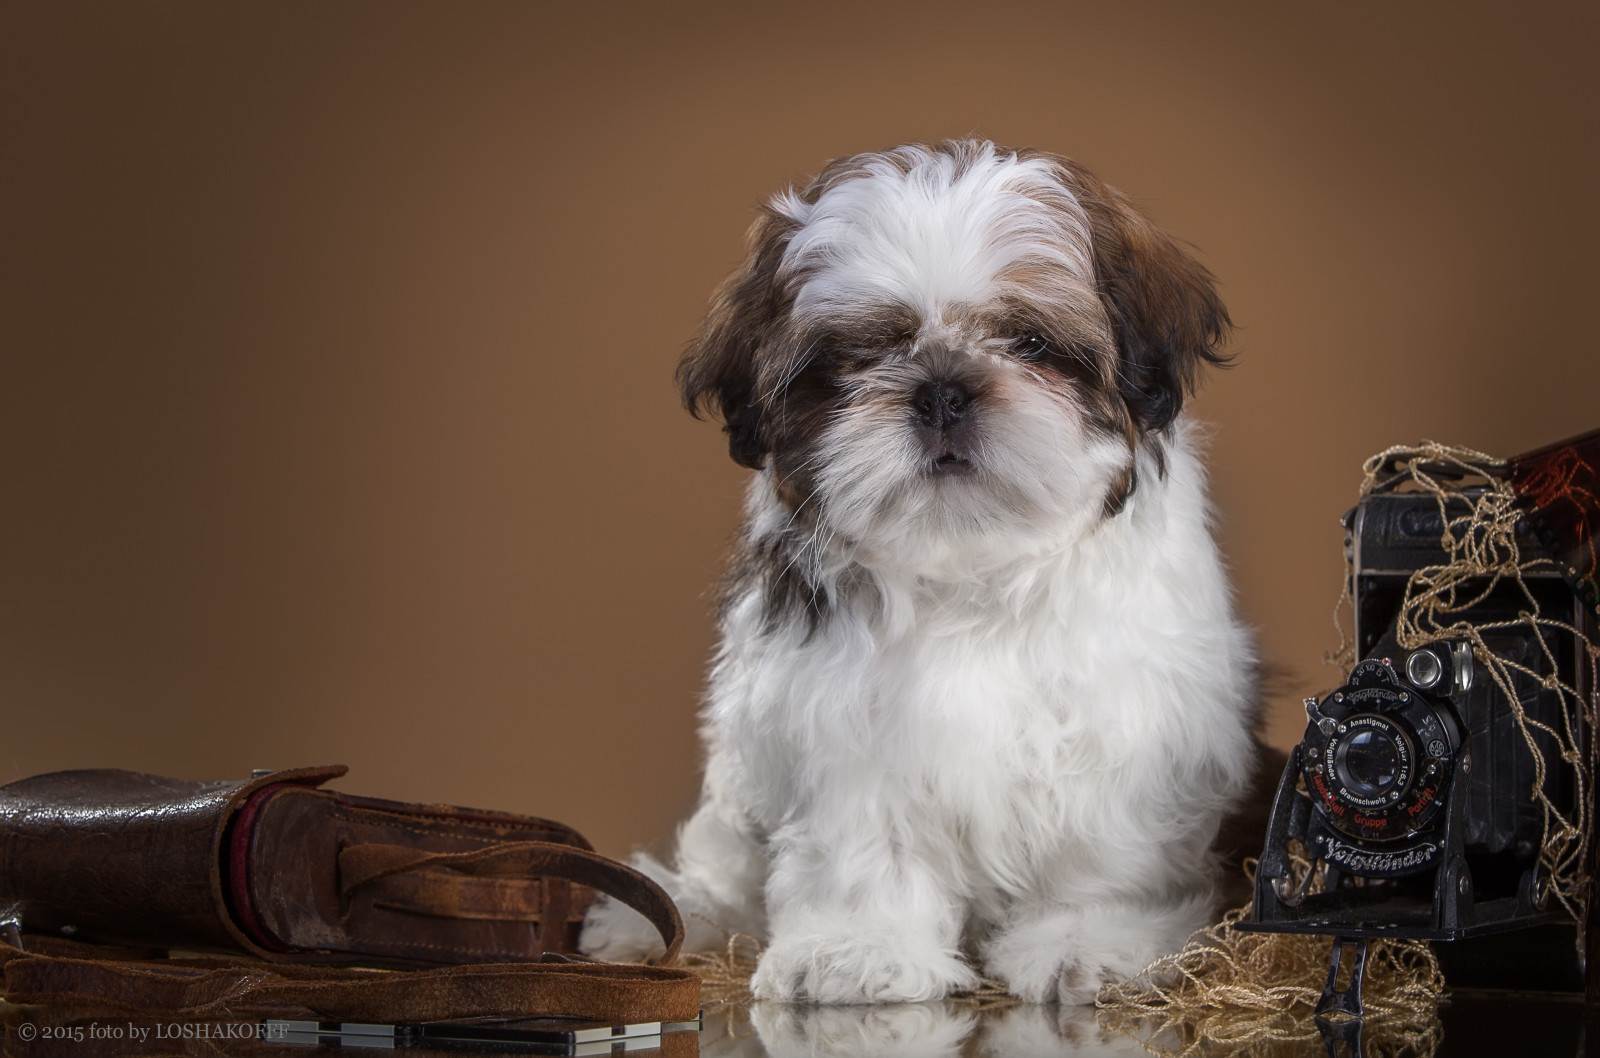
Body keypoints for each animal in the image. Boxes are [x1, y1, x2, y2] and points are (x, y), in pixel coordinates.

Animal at [582, 142, 1254, 1005]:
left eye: (1031, 344)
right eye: (859, 357)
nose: (941, 390)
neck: (966, 562)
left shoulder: (1126, 718)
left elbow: (1100, 844)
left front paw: (1086, 937)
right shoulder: (840, 719)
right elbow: (863, 840)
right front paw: (862, 947)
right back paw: (667, 916)